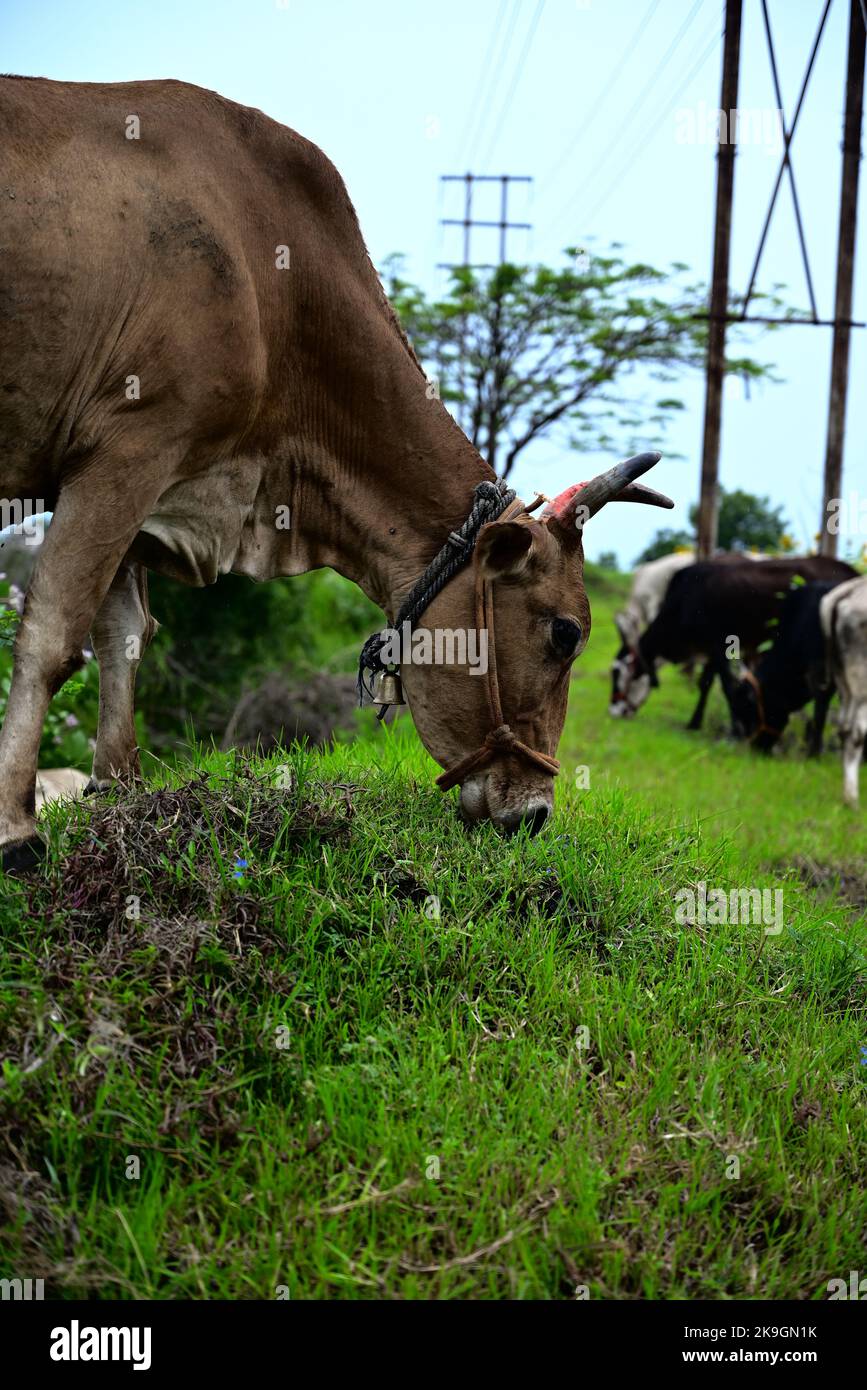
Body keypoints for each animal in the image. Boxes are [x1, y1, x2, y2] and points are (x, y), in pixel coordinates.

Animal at [0, 75, 675, 868]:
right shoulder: (127, 450)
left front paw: (118, 793)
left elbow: (125, 633)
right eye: (566, 633)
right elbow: (52, 636)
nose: (536, 814)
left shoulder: (144, 480)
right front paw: (17, 830)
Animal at [611, 556, 857, 732]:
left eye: (618, 673)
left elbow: (727, 685)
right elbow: (706, 683)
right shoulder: (711, 649)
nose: (613, 711)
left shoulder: (720, 644)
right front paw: (695, 723)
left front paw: (735, 728)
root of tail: (852, 572)